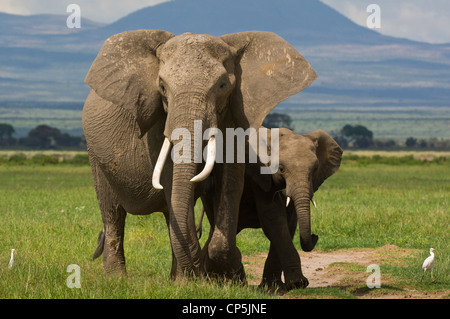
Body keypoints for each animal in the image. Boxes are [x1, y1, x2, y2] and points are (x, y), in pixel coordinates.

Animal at [81, 30, 316, 280]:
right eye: (162, 87)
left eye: (222, 85)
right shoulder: (160, 121)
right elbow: (171, 180)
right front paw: (202, 278)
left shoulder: (234, 113)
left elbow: (230, 181)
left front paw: (226, 274)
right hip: (94, 154)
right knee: (113, 213)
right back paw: (119, 279)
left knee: (169, 214)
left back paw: (177, 278)